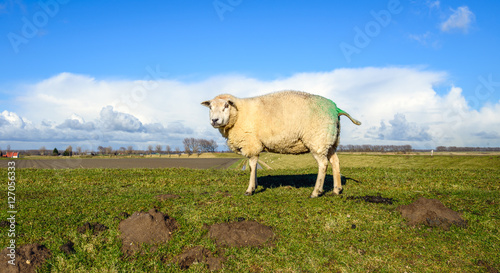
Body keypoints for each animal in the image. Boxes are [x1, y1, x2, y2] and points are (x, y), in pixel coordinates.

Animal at [201, 90, 362, 197]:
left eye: (226, 106)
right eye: (210, 108)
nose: (214, 120)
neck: (239, 114)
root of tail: (335, 108)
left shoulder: (251, 143)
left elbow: (252, 166)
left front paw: (250, 189)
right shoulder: (255, 145)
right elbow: (255, 166)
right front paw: (255, 184)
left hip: (317, 138)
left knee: (323, 164)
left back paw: (316, 192)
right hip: (330, 140)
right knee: (335, 161)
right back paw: (337, 189)